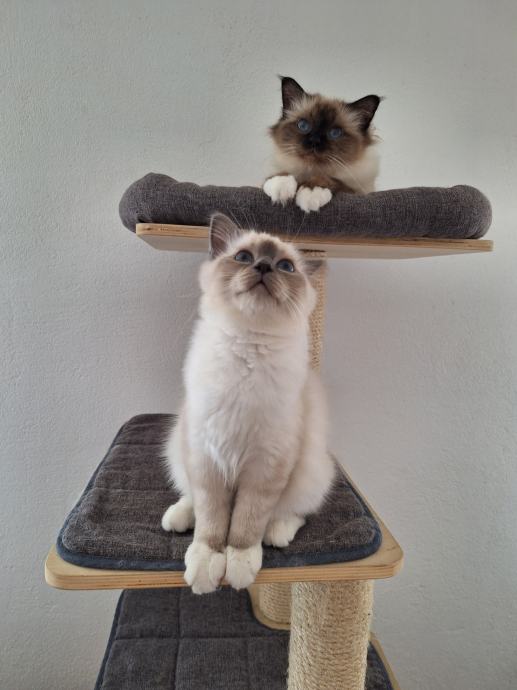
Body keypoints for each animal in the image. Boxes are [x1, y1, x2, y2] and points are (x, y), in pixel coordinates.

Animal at [161, 213, 335, 594]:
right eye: (243, 257)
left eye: (286, 266)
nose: (265, 266)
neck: (247, 348)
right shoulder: (206, 457)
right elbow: (211, 521)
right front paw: (206, 567)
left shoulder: (266, 465)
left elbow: (245, 523)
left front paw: (239, 567)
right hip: (178, 449)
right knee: (190, 496)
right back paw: (177, 518)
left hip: (312, 470)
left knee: (293, 512)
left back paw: (276, 532)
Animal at [263, 76, 381, 213]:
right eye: (303, 125)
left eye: (335, 133)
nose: (315, 141)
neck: (310, 172)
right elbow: (282, 173)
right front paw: (280, 184)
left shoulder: (358, 191)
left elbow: (333, 180)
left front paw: (312, 191)